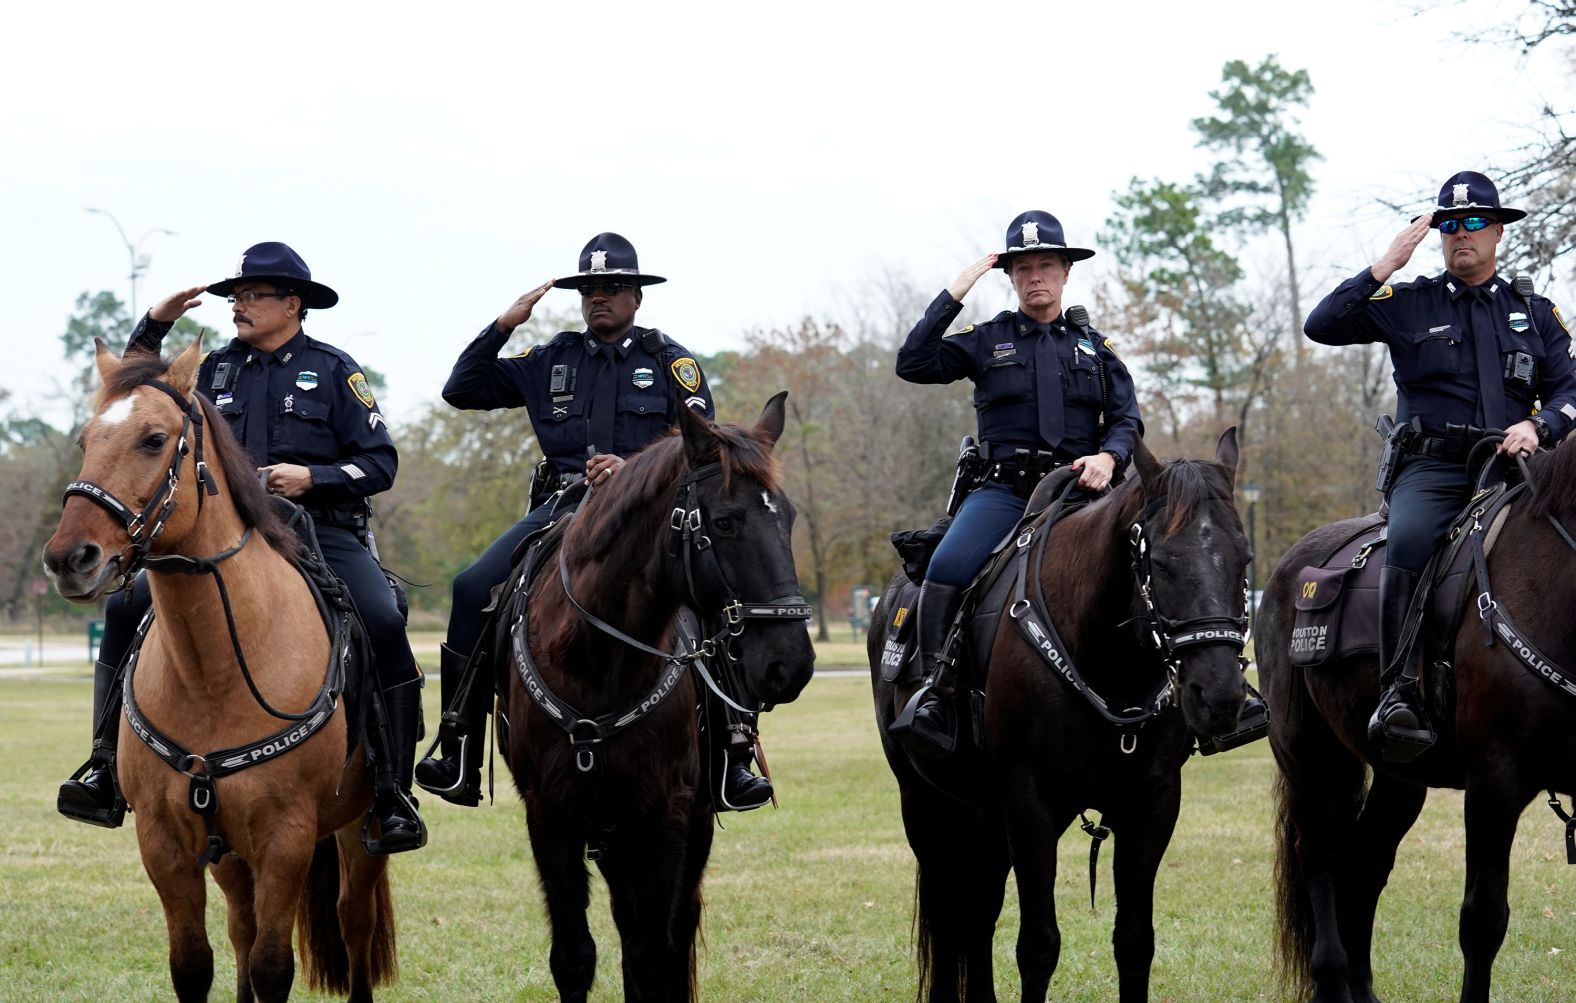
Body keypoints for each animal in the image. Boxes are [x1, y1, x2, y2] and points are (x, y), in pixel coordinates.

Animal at [44, 339, 394, 1003]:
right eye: (84, 440)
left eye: (154, 439)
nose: (69, 558)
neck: (214, 671)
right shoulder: (165, 843)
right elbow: (194, 963)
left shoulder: (287, 838)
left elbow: (272, 966)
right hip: (229, 851)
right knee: (240, 927)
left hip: (357, 831)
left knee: (353, 921)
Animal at [504, 394, 819, 1003]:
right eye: (725, 521)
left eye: (789, 517)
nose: (791, 663)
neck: (599, 661)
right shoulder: (549, 814)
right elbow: (574, 957)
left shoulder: (665, 815)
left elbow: (654, 957)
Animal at [869, 432, 1248, 1003]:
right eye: (1159, 562)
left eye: (1245, 557)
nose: (1219, 695)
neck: (1108, 660)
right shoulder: (1031, 804)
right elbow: (1038, 946)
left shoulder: (1153, 803)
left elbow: (1134, 941)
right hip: (924, 801)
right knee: (951, 909)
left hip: (983, 810)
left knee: (978, 910)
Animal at [1260, 438, 1576, 1003]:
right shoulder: (1494, 782)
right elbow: (1482, 922)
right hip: (1309, 759)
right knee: (1317, 854)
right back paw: (1331, 978)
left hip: (1397, 778)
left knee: (1364, 862)